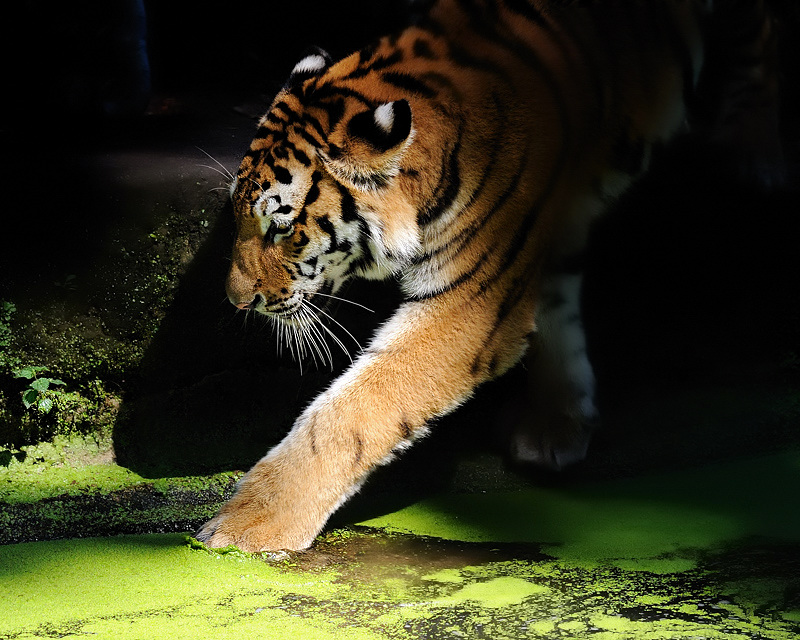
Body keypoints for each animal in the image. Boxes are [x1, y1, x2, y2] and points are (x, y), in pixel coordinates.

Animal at [196, 0, 782, 551]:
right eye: (238, 216)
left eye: (282, 229)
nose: (235, 300)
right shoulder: (536, 242)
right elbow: (557, 319)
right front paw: (559, 423)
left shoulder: (470, 302)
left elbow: (352, 408)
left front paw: (250, 525)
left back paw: (757, 150)